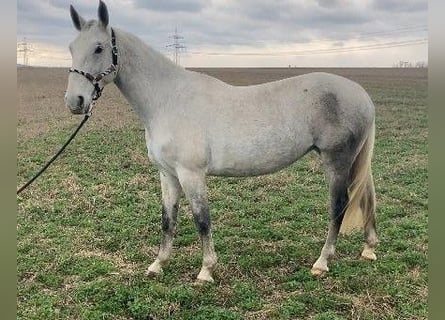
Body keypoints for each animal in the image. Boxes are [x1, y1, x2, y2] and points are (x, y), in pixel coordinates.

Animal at [66, 1, 376, 282]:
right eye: (71, 48)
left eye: (99, 48)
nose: (75, 102)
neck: (169, 100)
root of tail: (361, 95)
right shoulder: (167, 174)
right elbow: (168, 220)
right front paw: (158, 264)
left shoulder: (191, 174)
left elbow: (202, 220)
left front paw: (206, 271)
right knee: (367, 196)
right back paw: (369, 248)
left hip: (336, 161)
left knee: (339, 204)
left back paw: (322, 262)